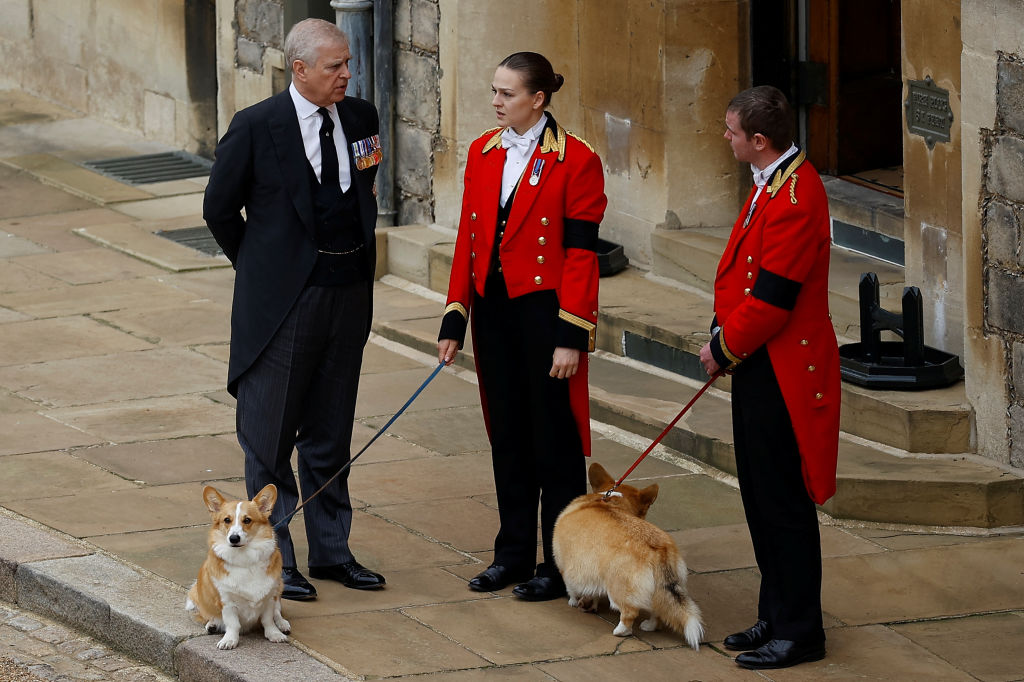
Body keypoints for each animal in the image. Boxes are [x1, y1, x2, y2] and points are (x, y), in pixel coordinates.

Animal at [182, 481, 288, 647]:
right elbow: (233, 624)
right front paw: (229, 640)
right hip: (194, 597)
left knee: (277, 612)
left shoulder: (269, 598)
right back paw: (212, 624)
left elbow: (268, 620)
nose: (234, 538)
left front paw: (274, 634)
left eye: (247, 520)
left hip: (279, 588)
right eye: (227, 520)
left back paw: (283, 624)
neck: (245, 559)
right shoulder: (227, 602)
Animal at [552, 462, 704, 647]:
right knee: (658, 609)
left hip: (619, 589)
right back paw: (649, 626)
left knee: (629, 613)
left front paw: (574, 602)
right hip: (662, 588)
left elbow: (572, 588)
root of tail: (658, 550)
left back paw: (620, 631)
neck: (610, 500)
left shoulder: (567, 566)